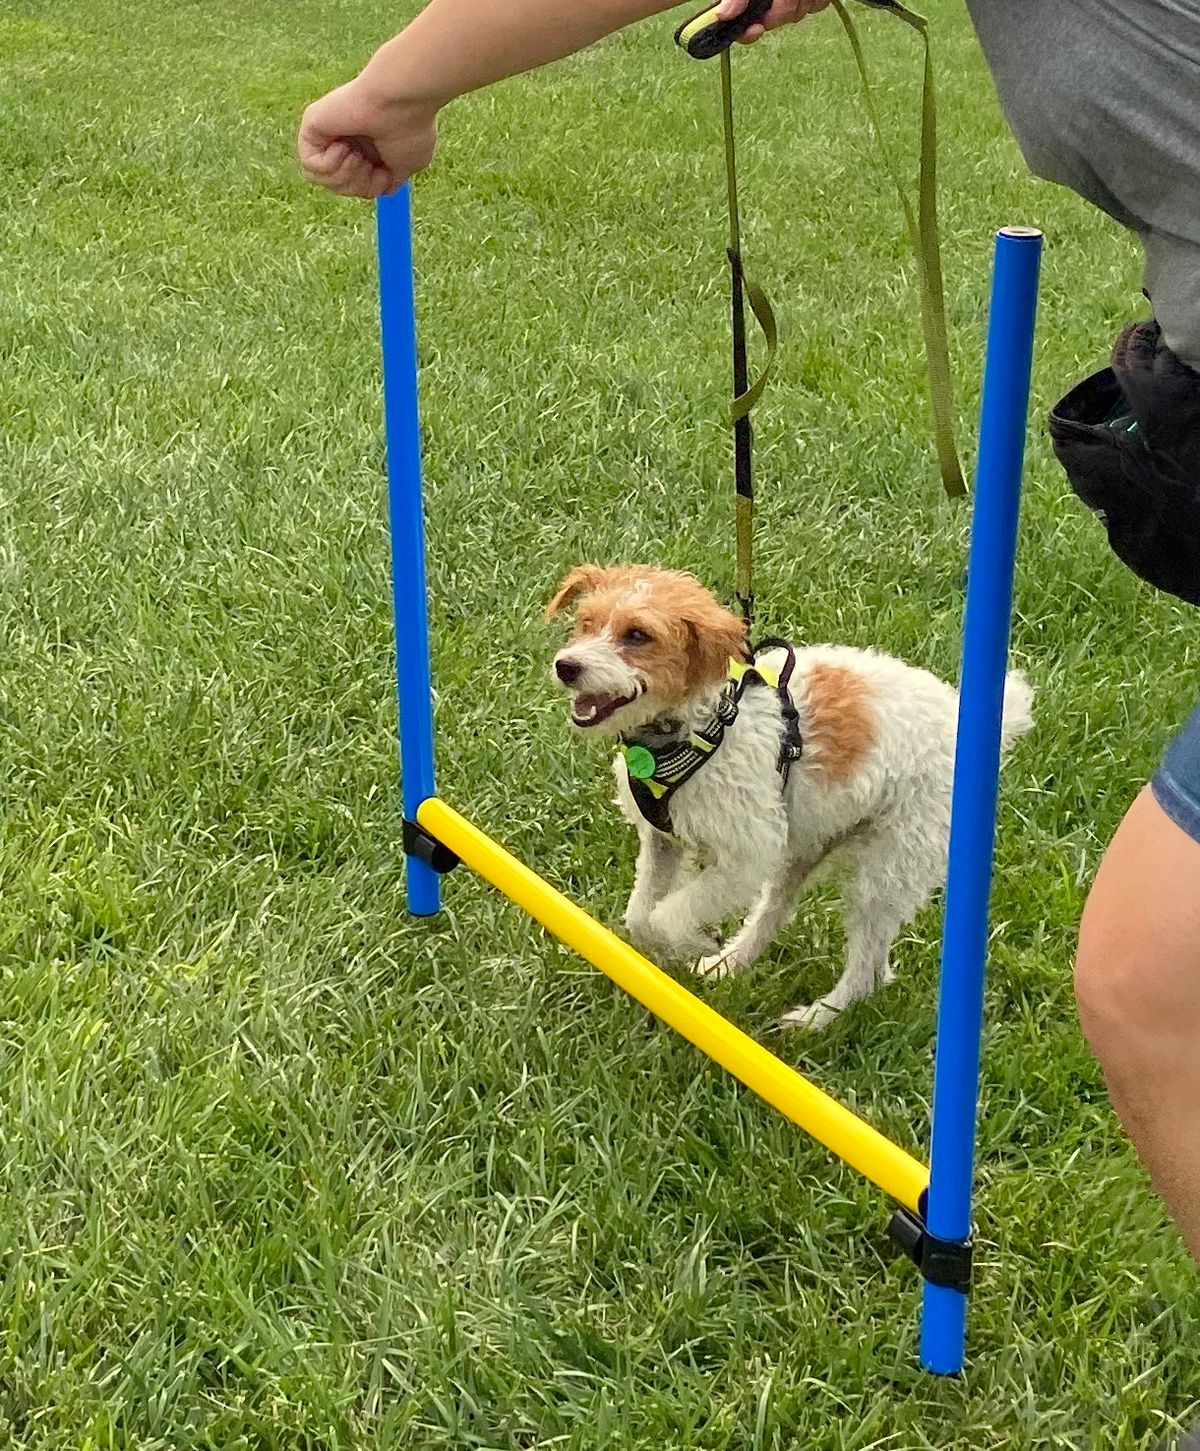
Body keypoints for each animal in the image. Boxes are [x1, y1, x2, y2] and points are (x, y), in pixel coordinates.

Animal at [548, 565, 1038, 1033]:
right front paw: (682, 945)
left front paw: (691, 940)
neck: (699, 726)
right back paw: (729, 964)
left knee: (865, 970)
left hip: (888, 869)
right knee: (784, 919)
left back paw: (814, 1019)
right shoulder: (662, 840)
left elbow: (667, 915)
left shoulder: (747, 855)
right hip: (805, 848)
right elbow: (639, 916)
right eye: (586, 623)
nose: (565, 666)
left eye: (637, 635)